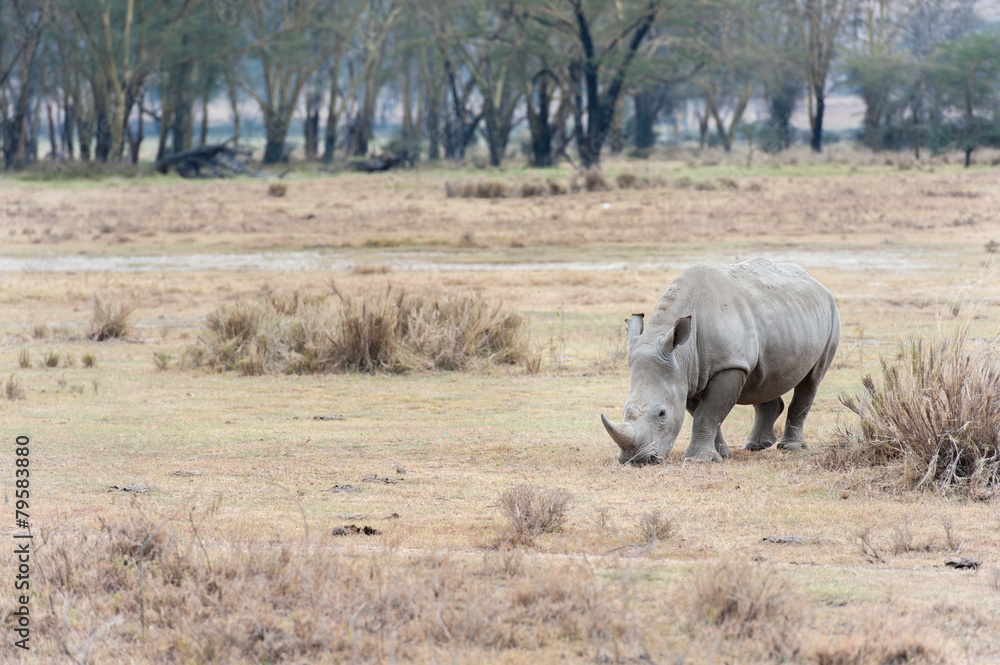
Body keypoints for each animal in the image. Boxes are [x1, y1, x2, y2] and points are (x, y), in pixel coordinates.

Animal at [601, 258, 840, 464]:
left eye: (662, 413)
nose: (637, 460)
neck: (681, 353)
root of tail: (815, 282)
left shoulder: (729, 365)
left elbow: (707, 414)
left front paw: (698, 460)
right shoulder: (688, 374)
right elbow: (702, 413)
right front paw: (721, 454)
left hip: (831, 312)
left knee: (812, 379)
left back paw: (791, 448)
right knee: (764, 378)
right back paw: (756, 446)